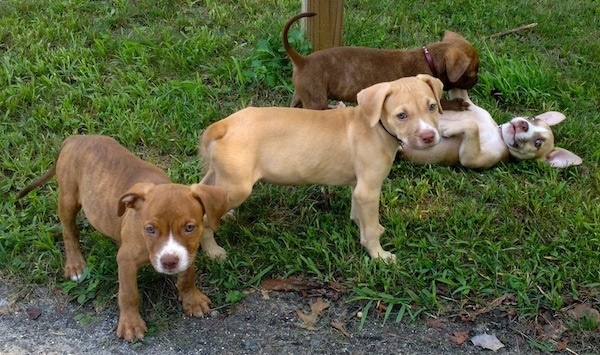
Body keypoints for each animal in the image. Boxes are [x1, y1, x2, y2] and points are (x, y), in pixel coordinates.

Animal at [16, 136, 229, 342]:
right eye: (150, 229)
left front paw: (192, 299)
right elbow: (129, 294)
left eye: (189, 228)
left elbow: (187, 276)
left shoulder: (188, 251)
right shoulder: (126, 261)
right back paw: (75, 265)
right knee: (69, 232)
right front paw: (131, 325)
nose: (169, 262)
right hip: (68, 198)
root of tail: (74, 138)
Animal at [199, 75, 442, 262]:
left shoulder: (359, 187)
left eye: (432, 107)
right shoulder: (369, 190)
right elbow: (370, 229)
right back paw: (213, 252)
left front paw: (362, 226)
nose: (429, 136)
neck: (376, 126)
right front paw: (379, 255)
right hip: (238, 186)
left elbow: (360, 214)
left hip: (220, 175)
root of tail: (224, 125)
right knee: (204, 221)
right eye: (402, 115)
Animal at [284, 12, 480, 110]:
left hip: (303, 94)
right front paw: (458, 104)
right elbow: (442, 103)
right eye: (474, 71)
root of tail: (302, 60)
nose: (476, 81)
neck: (429, 58)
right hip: (316, 100)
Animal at [398, 90, 580, 170]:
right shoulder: (468, 104)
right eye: (532, 118)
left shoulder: (474, 160)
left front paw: (450, 128)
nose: (523, 125)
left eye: (537, 143)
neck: (497, 133)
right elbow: (460, 94)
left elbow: (472, 127)